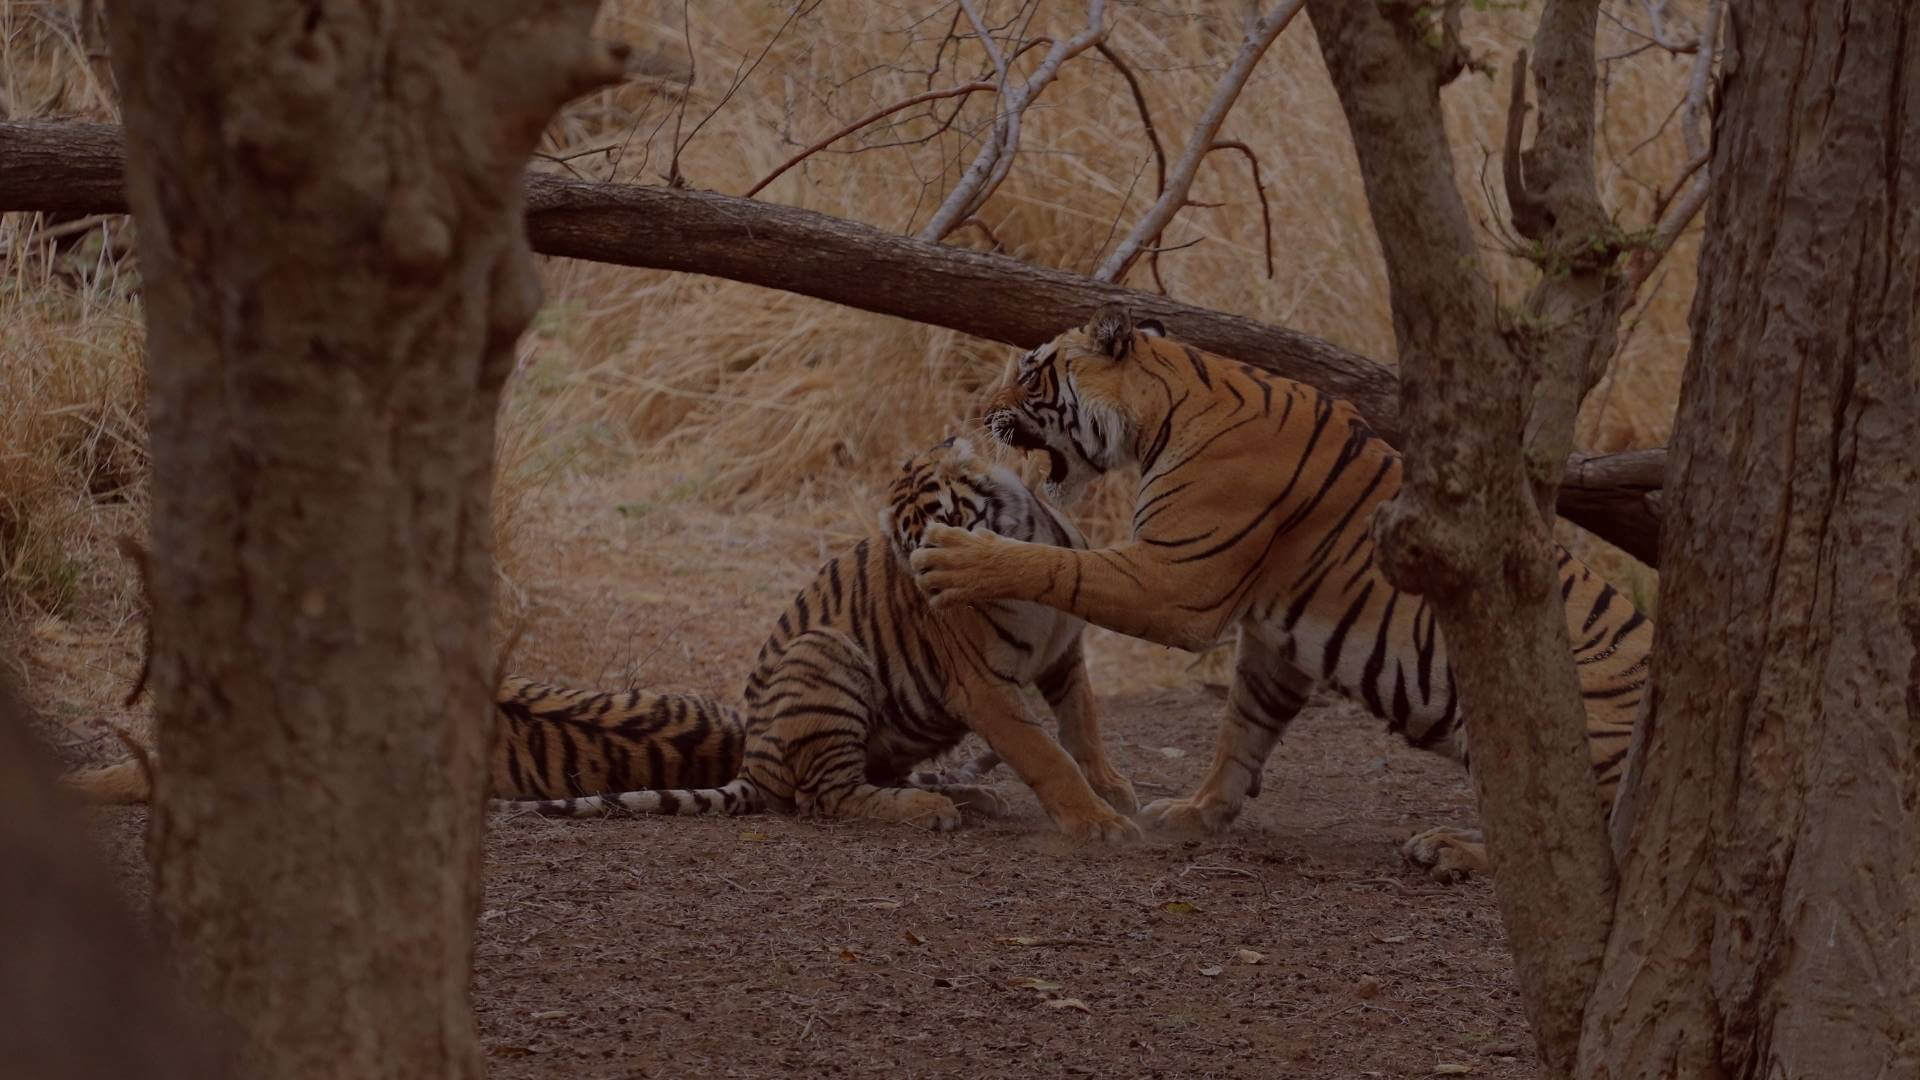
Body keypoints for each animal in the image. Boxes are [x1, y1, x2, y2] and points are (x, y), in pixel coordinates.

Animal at [908, 304, 1653, 880]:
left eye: (1029, 373)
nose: (978, 411)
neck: (1164, 408)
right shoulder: (1277, 642)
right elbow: (1241, 731)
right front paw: (1196, 813)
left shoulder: (1174, 581)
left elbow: (1057, 564)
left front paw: (957, 557)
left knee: (1569, 843)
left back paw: (1450, 851)